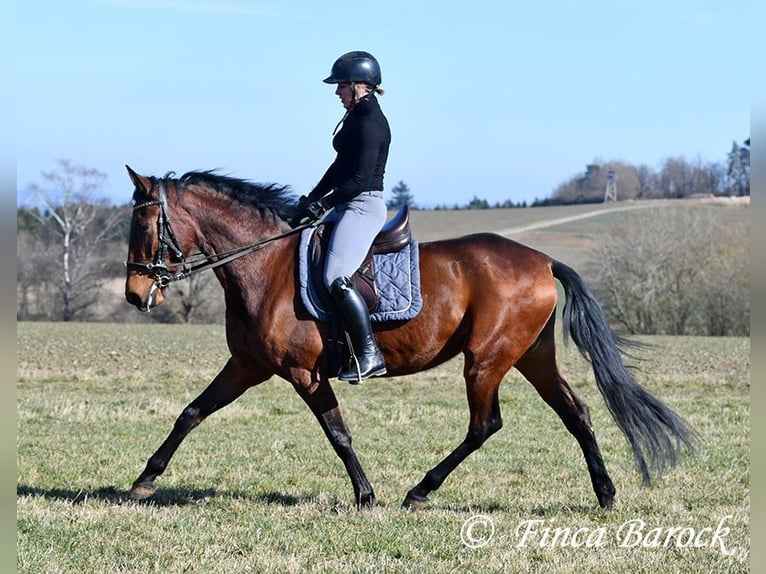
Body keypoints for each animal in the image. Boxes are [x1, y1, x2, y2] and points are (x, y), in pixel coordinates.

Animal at [124, 166, 696, 512]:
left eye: (145, 225)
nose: (133, 294)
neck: (265, 265)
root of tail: (540, 259)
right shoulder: (247, 365)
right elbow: (191, 413)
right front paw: (144, 480)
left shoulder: (303, 374)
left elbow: (338, 434)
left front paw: (365, 495)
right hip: (532, 356)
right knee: (575, 412)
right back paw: (605, 494)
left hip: (486, 359)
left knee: (485, 424)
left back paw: (420, 490)